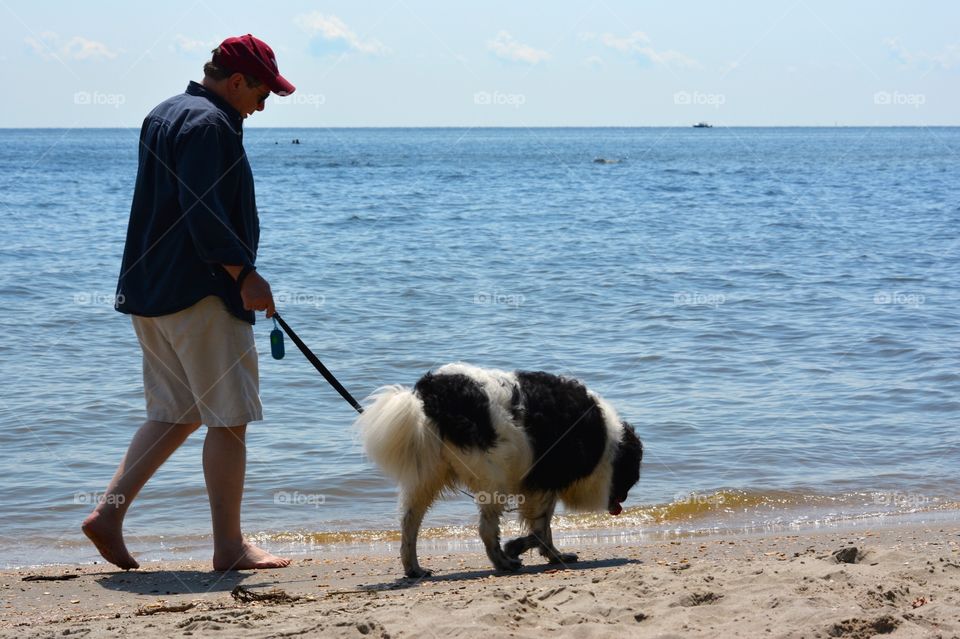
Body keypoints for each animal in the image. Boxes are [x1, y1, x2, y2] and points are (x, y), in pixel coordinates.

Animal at [356, 362, 640, 576]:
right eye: (631, 476)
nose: (623, 500)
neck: (607, 441)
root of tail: (431, 392)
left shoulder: (540, 484)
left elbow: (544, 527)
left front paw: (553, 555)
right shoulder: (541, 481)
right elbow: (540, 529)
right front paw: (517, 547)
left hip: (427, 475)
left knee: (409, 522)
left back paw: (413, 568)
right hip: (492, 476)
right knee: (485, 529)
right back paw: (503, 562)